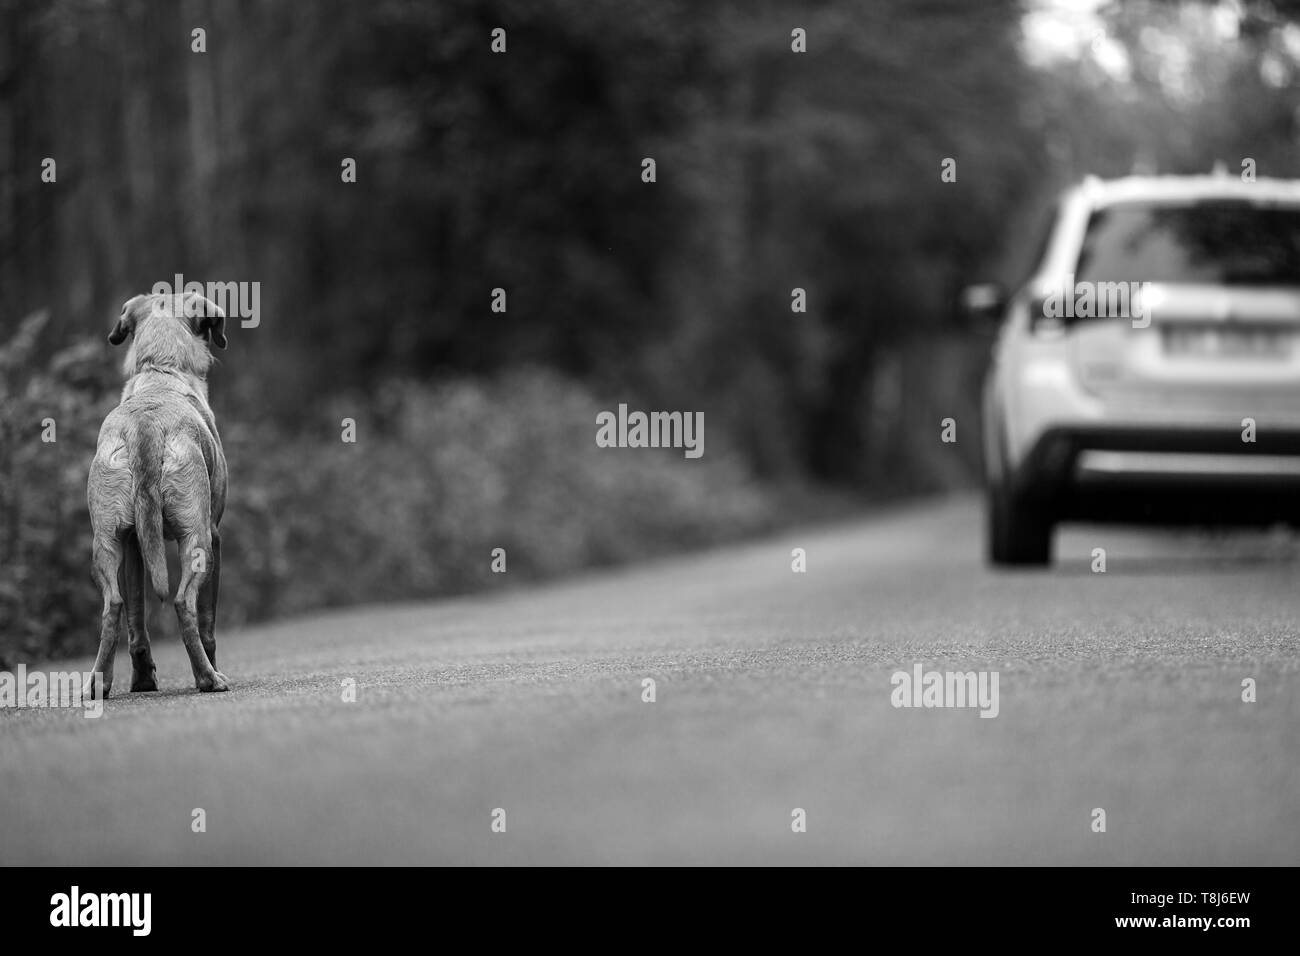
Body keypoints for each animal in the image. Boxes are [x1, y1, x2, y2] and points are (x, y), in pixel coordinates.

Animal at [85, 287, 231, 697]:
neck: (159, 372)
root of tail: (145, 426)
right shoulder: (215, 537)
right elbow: (208, 624)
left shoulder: (136, 544)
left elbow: (137, 618)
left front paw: (143, 678)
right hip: (197, 540)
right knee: (184, 603)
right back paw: (208, 678)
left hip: (106, 542)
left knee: (114, 607)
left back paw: (101, 683)